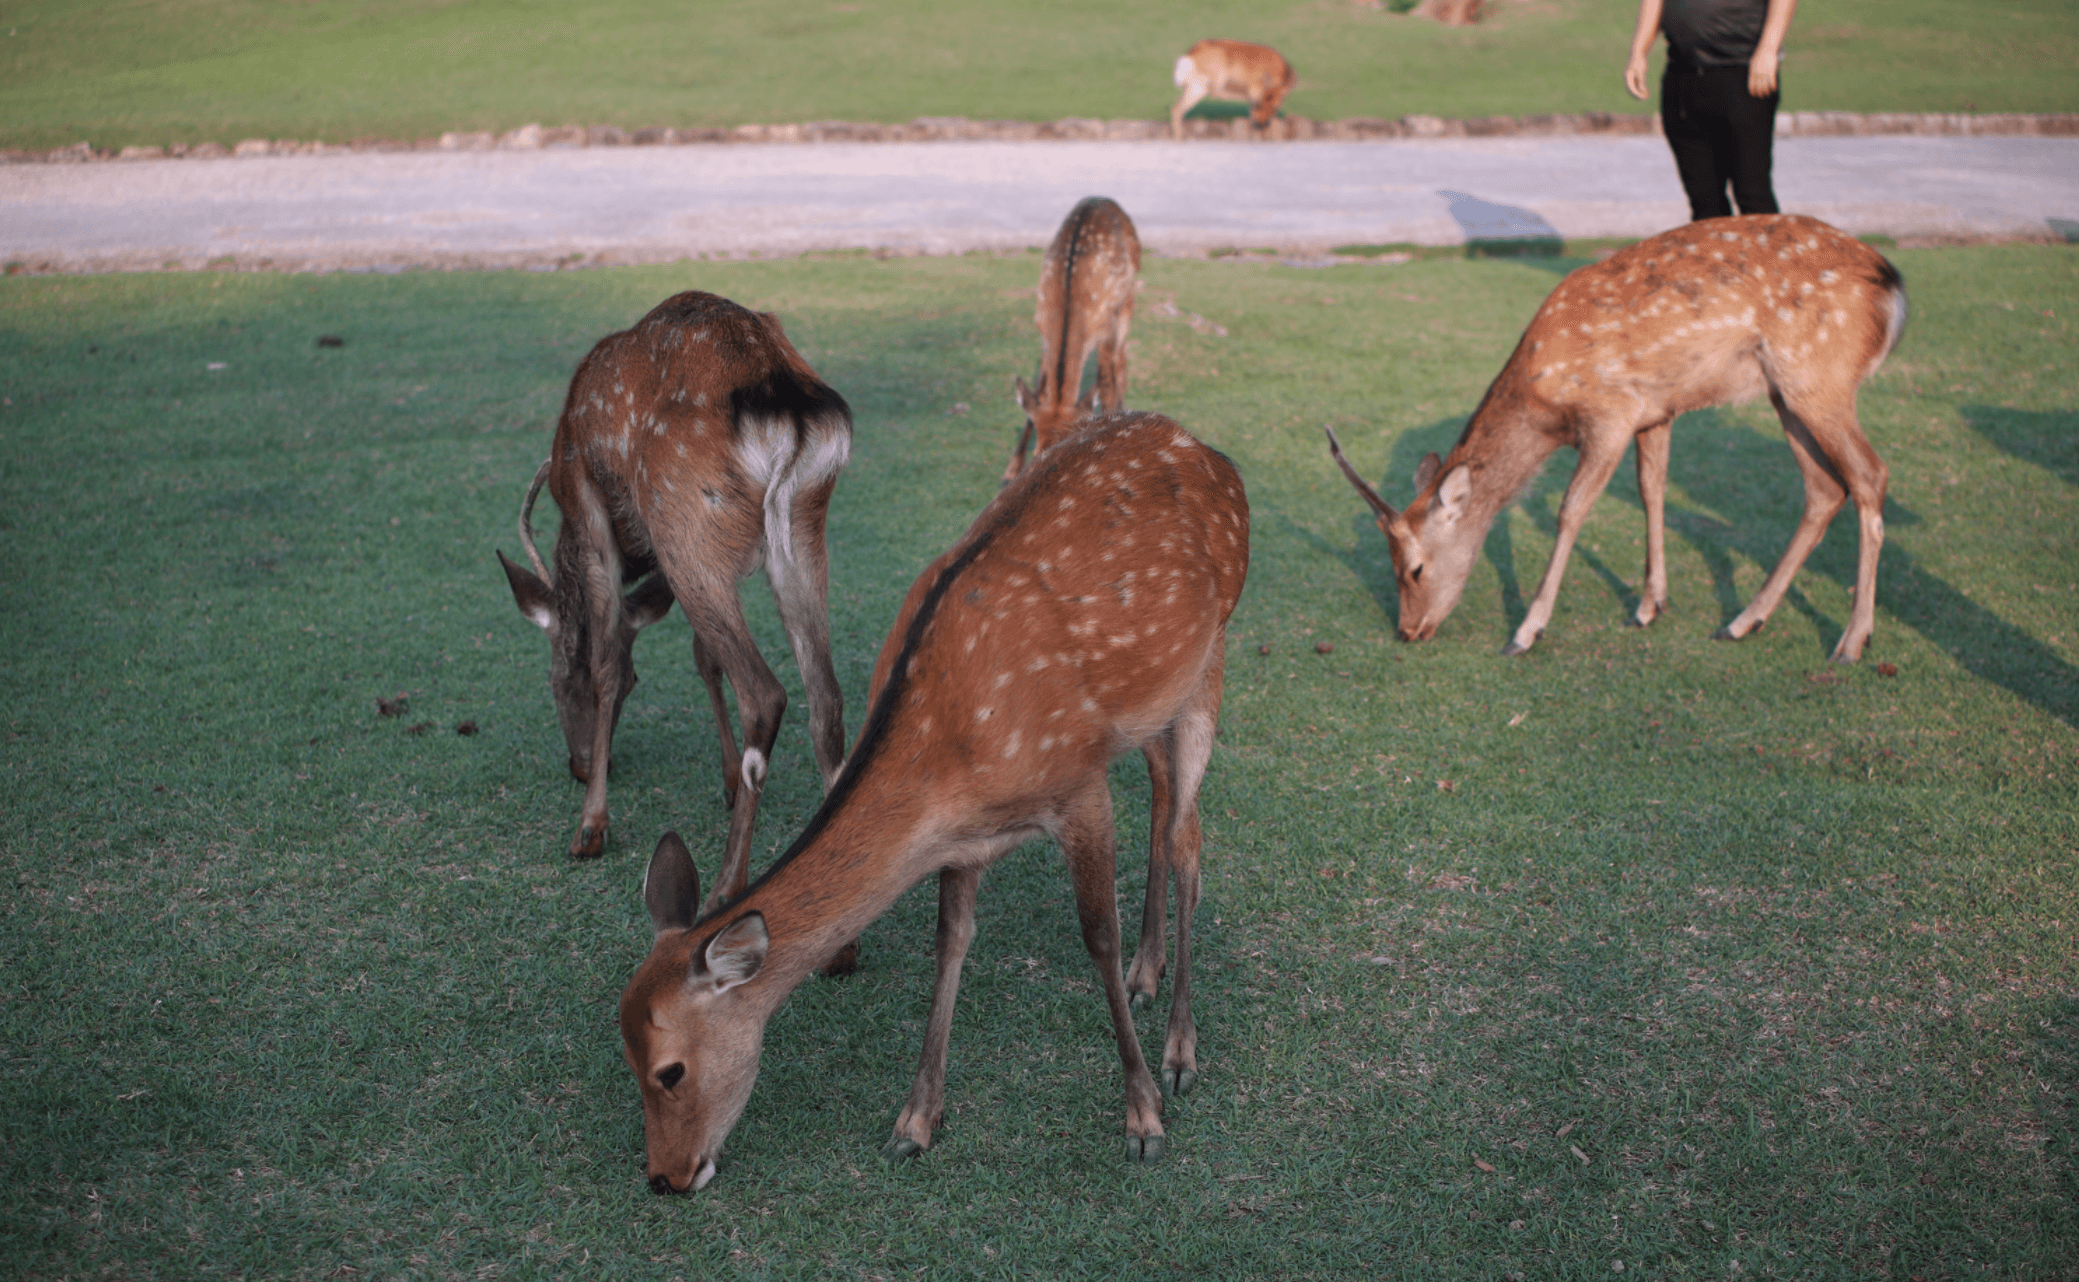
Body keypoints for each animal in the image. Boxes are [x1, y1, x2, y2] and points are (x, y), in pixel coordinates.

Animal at [498, 290, 851, 918]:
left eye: (558, 680)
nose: (581, 765)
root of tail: (786, 411)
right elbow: (701, 656)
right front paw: (727, 779)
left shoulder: (591, 516)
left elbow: (609, 660)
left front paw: (591, 827)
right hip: (802, 529)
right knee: (826, 702)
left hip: (682, 515)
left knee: (766, 693)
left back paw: (725, 890)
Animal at [620, 412, 1250, 1193]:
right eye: (625, 1057)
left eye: (669, 1070)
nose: (666, 1177)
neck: (950, 760)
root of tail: (1212, 454)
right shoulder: (964, 839)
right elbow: (950, 942)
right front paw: (914, 1121)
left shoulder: (1078, 784)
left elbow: (1094, 936)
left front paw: (1143, 1118)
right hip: (1152, 702)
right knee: (1165, 801)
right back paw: (1147, 973)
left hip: (1210, 659)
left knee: (1187, 838)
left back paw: (1180, 1050)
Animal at [1005, 197, 1141, 484]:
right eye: (1036, 455)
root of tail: (1102, 198)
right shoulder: (1042, 325)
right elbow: (1039, 388)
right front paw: (1010, 471)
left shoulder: (1106, 325)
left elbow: (1105, 383)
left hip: (1127, 300)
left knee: (1120, 361)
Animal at [1327, 213, 1906, 663]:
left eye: (1415, 568)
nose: (1407, 630)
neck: (1546, 407)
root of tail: (1892, 284)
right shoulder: (1655, 412)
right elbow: (1652, 490)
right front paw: (1649, 607)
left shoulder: (1612, 412)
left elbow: (1571, 509)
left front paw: (1526, 631)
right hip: (1785, 391)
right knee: (1825, 487)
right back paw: (1743, 621)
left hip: (1817, 372)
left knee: (1870, 474)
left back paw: (1852, 641)